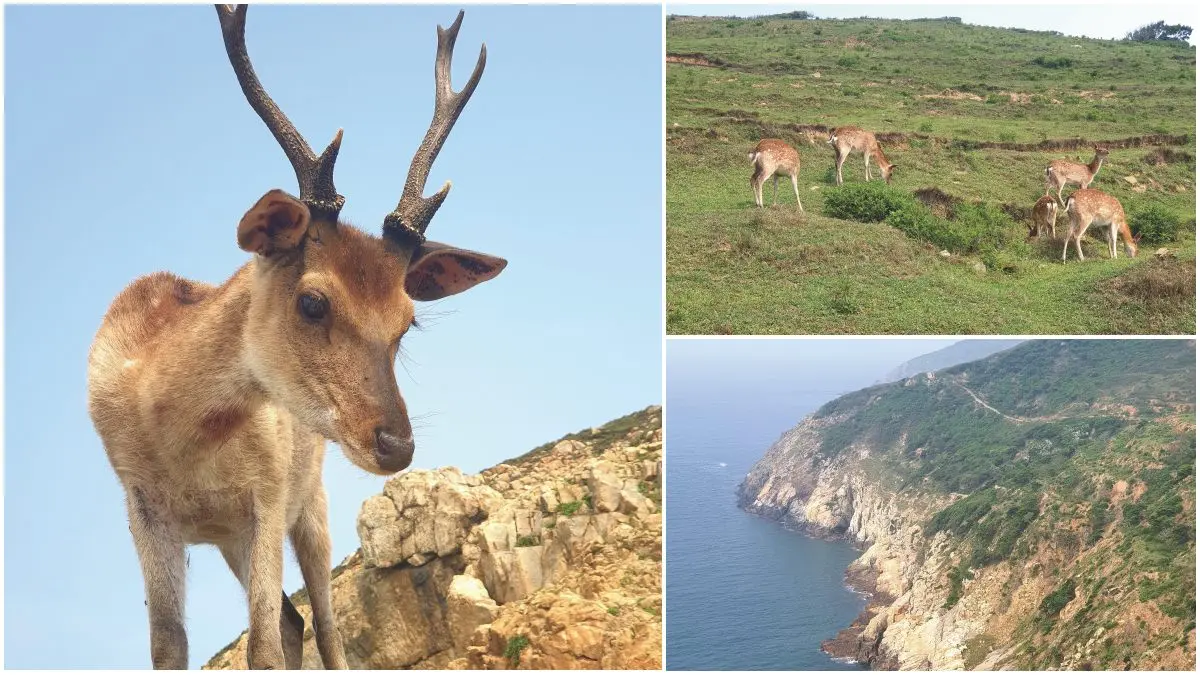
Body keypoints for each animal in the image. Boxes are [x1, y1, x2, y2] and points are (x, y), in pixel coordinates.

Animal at [86, 5, 503, 669]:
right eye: (312, 301)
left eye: (406, 321)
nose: (397, 445)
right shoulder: (142, 506)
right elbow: (169, 646)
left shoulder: (268, 492)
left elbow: (260, 645)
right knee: (292, 617)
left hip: (311, 507)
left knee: (320, 624)